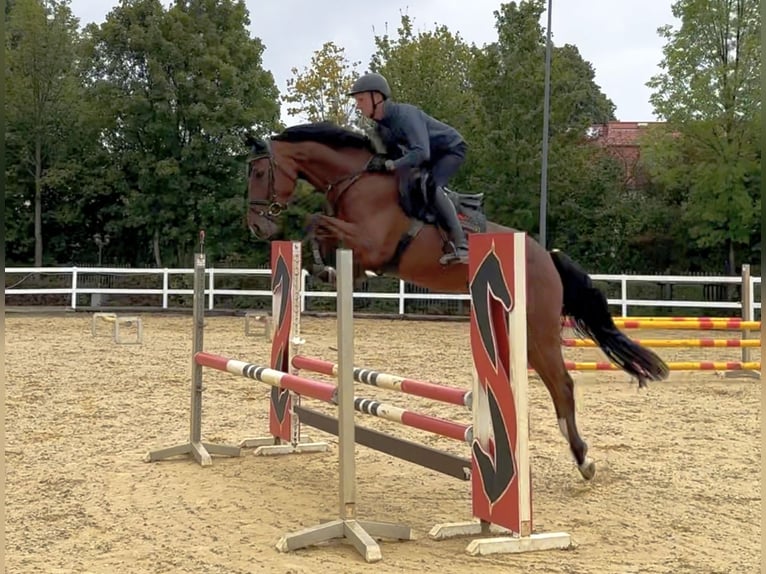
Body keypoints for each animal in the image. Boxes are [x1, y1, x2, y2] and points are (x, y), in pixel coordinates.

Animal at [248, 121, 672, 482]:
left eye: (259, 173)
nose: (257, 227)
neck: (356, 181)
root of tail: (546, 257)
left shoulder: (371, 244)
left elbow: (316, 220)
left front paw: (322, 264)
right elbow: (324, 231)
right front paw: (326, 268)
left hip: (537, 331)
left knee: (563, 384)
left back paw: (583, 460)